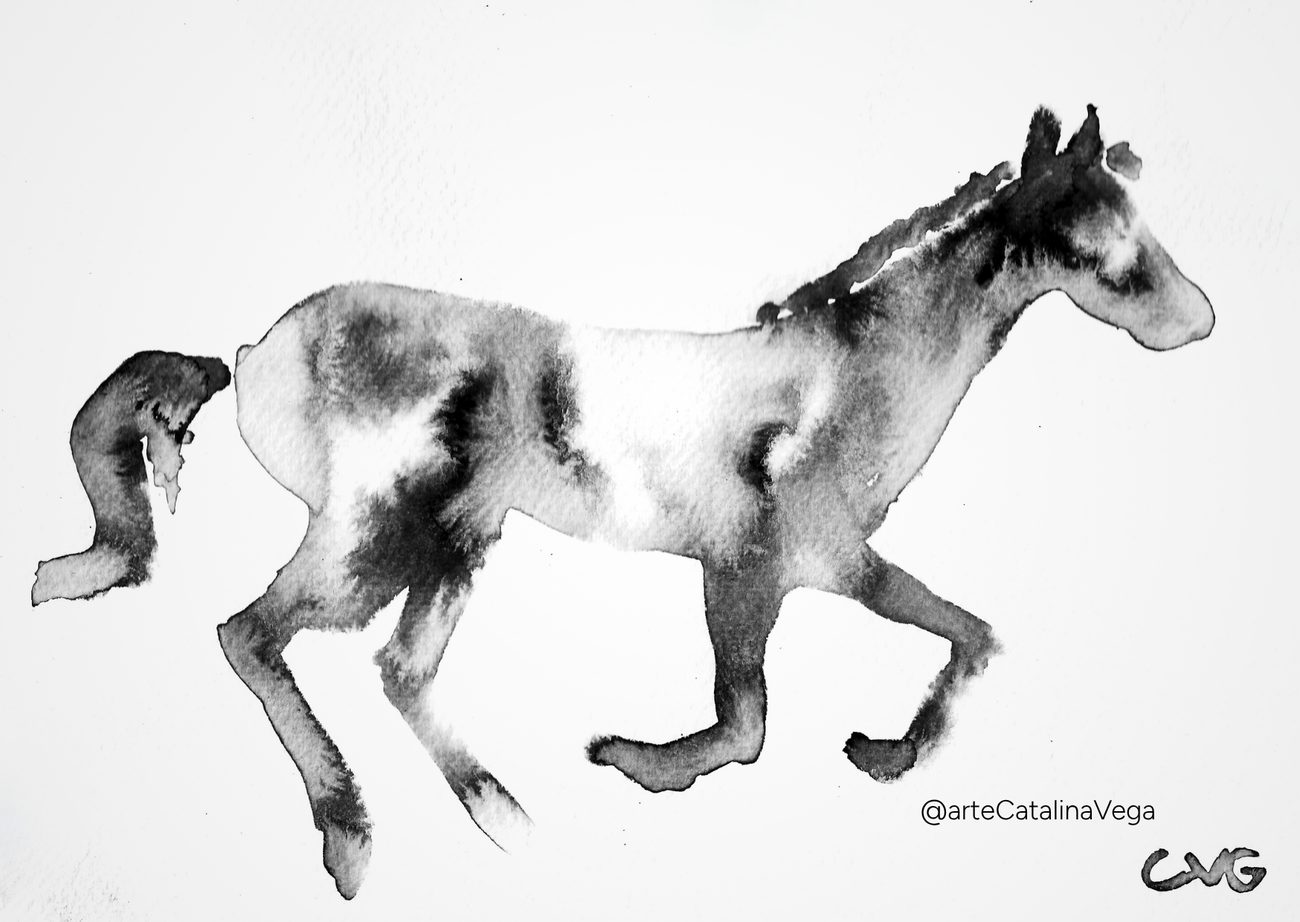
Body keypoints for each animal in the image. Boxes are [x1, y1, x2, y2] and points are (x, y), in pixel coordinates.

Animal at [31, 105, 1214, 899]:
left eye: (1142, 226)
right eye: (1096, 248)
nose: (1199, 320)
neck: (843, 382)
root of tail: (251, 353)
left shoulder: (823, 573)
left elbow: (966, 638)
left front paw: (881, 754)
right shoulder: (763, 573)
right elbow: (748, 726)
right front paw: (637, 764)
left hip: (455, 540)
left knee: (399, 671)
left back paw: (502, 814)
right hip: (371, 535)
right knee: (252, 634)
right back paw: (351, 835)